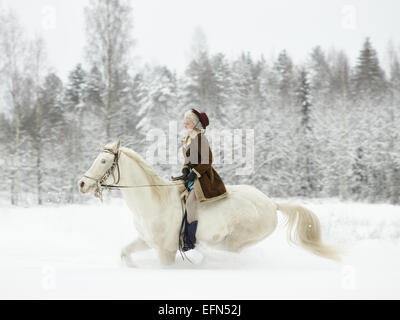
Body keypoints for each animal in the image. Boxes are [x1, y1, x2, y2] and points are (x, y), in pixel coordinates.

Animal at [78, 141, 340, 266]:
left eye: (103, 161)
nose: (82, 183)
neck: (152, 202)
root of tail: (272, 203)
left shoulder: (166, 250)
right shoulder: (146, 241)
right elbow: (124, 253)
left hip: (235, 242)